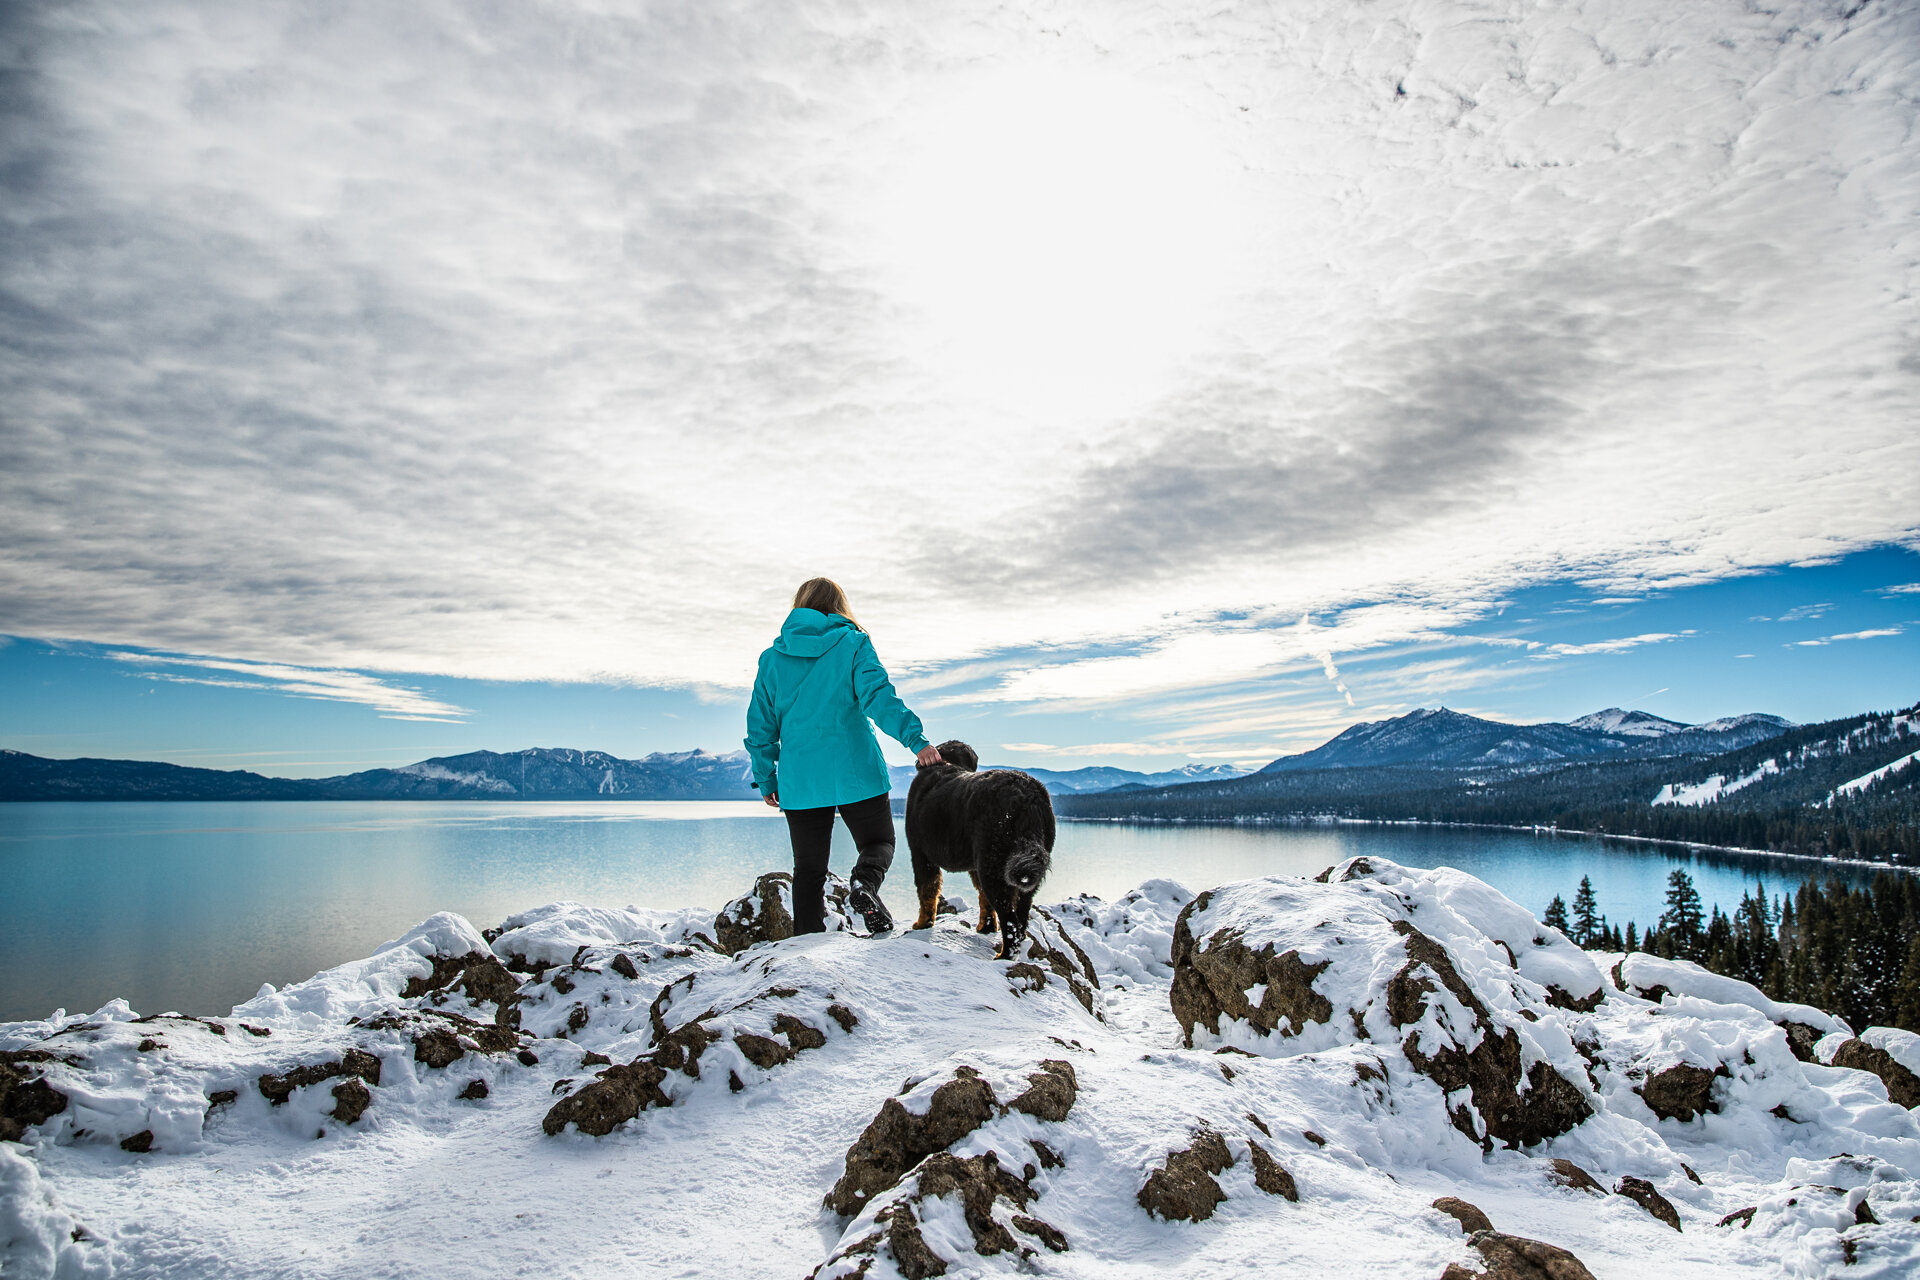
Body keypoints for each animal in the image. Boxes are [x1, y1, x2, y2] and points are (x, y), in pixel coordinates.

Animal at [898, 736, 1052, 955]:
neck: (948, 763)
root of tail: (1027, 795)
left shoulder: (921, 854)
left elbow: (927, 892)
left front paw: (922, 924)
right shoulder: (974, 864)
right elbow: (983, 899)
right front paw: (986, 927)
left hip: (994, 869)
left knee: (1010, 922)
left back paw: (1003, 955)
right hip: (1024, 874)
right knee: (1021, 915)